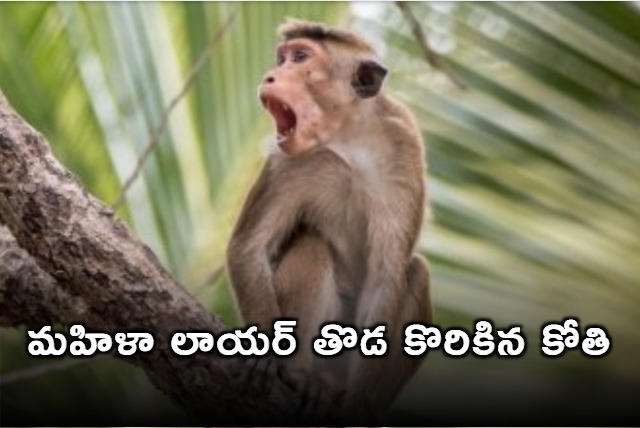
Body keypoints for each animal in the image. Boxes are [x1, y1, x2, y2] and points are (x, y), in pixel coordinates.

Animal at [226, 19, 432, 418]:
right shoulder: (285, 162)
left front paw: (360, 407)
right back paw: (302, 376)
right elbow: (249, 248)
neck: (347, 142)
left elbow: (386, 277)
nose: (271, 75)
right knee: (312, 246)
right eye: (282, 59)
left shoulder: (405, 147)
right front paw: (263, 350)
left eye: (300, 58)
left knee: (416, 271)